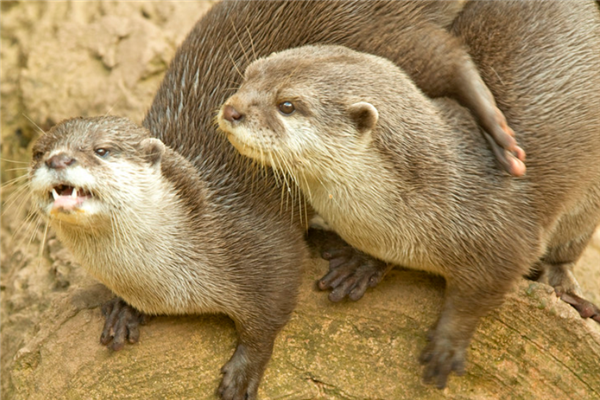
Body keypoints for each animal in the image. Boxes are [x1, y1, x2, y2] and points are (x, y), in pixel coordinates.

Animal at [219, 0, 600, 388]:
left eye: (288, 105)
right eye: (249, 74)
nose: (231, 109)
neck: (445, 189)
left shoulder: (508, 240)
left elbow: (477, 297)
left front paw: (448, 343)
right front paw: (364, 263)